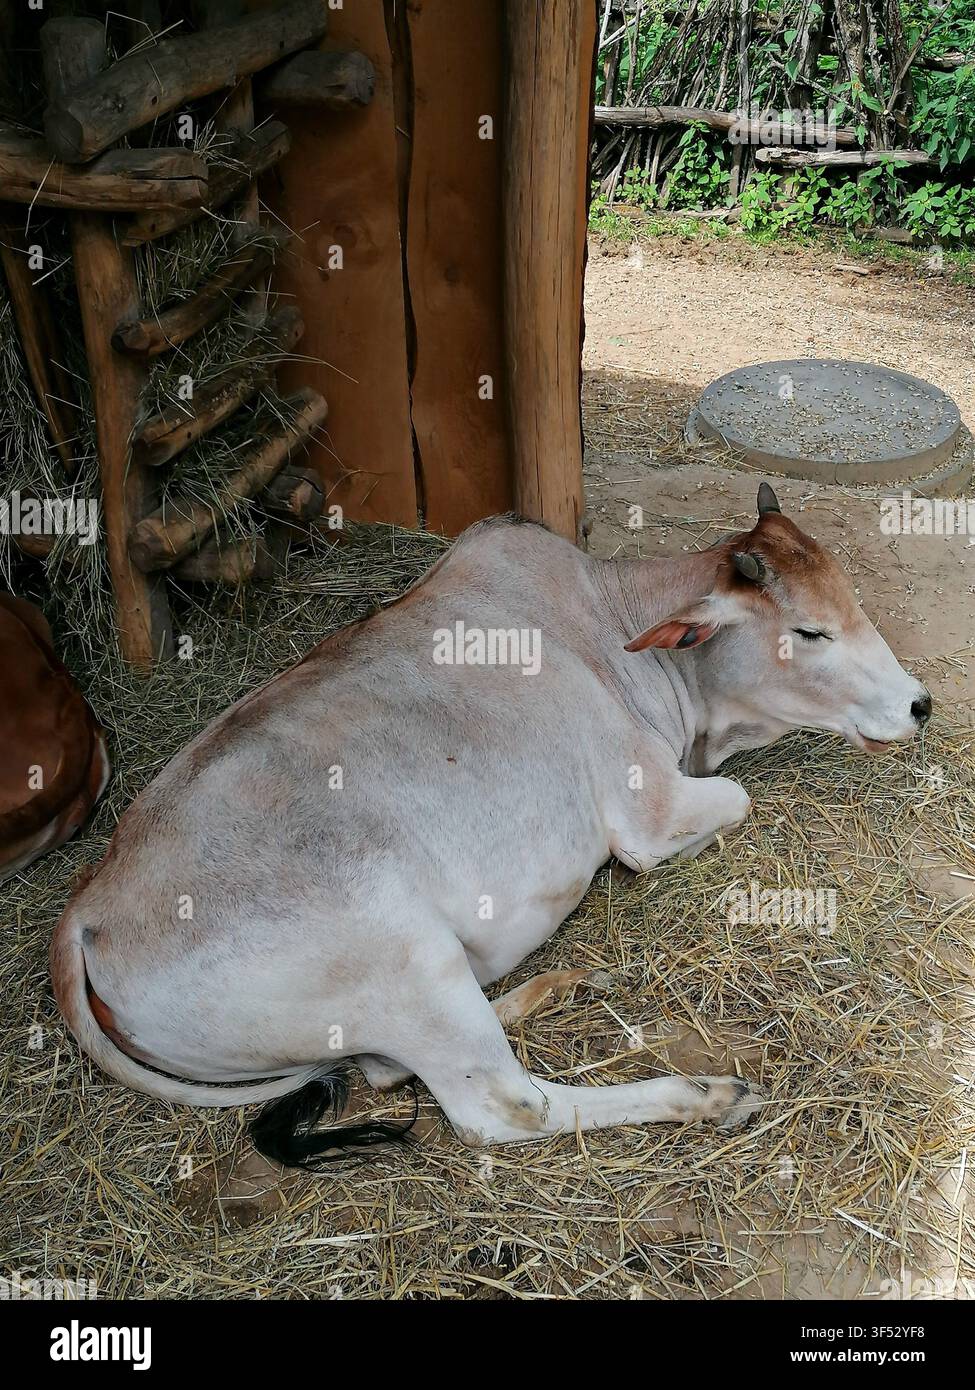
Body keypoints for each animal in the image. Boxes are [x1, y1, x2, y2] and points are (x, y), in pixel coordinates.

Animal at [51, 485, 931, 1164]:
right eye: (808, 631)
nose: (919, 704)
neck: (610, 630)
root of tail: (86, 915)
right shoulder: (649, 811)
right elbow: (736, 800)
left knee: (390, 1070)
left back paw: (560, 984)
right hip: (410, 963)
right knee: (505, 1106)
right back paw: (704, 1094)